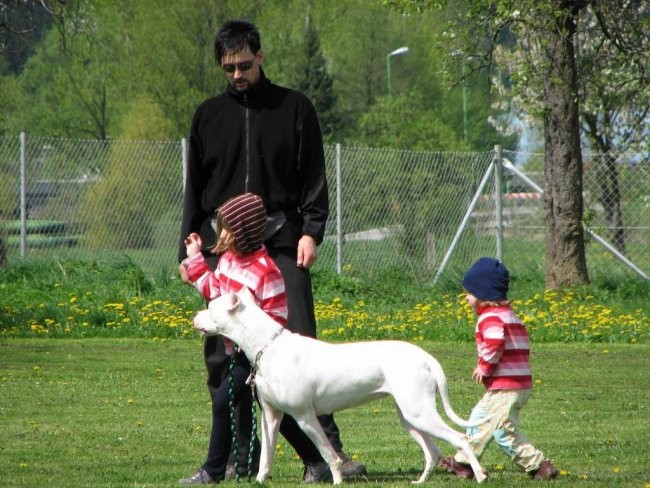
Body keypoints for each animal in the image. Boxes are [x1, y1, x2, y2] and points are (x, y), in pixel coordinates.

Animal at [192, 290, 486, 484]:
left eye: (211, 306)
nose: (194, 317)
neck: (268, 345)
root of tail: (424, 356)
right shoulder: (271, 416)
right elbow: (266, 455)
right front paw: (260, 480)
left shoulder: (304, 416)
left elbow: (327, 453)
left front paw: (336, 479)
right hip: (411, 417)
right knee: (433, 451)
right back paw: (422, 480)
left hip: (419, 413)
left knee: (461, 439)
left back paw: (481, 475)